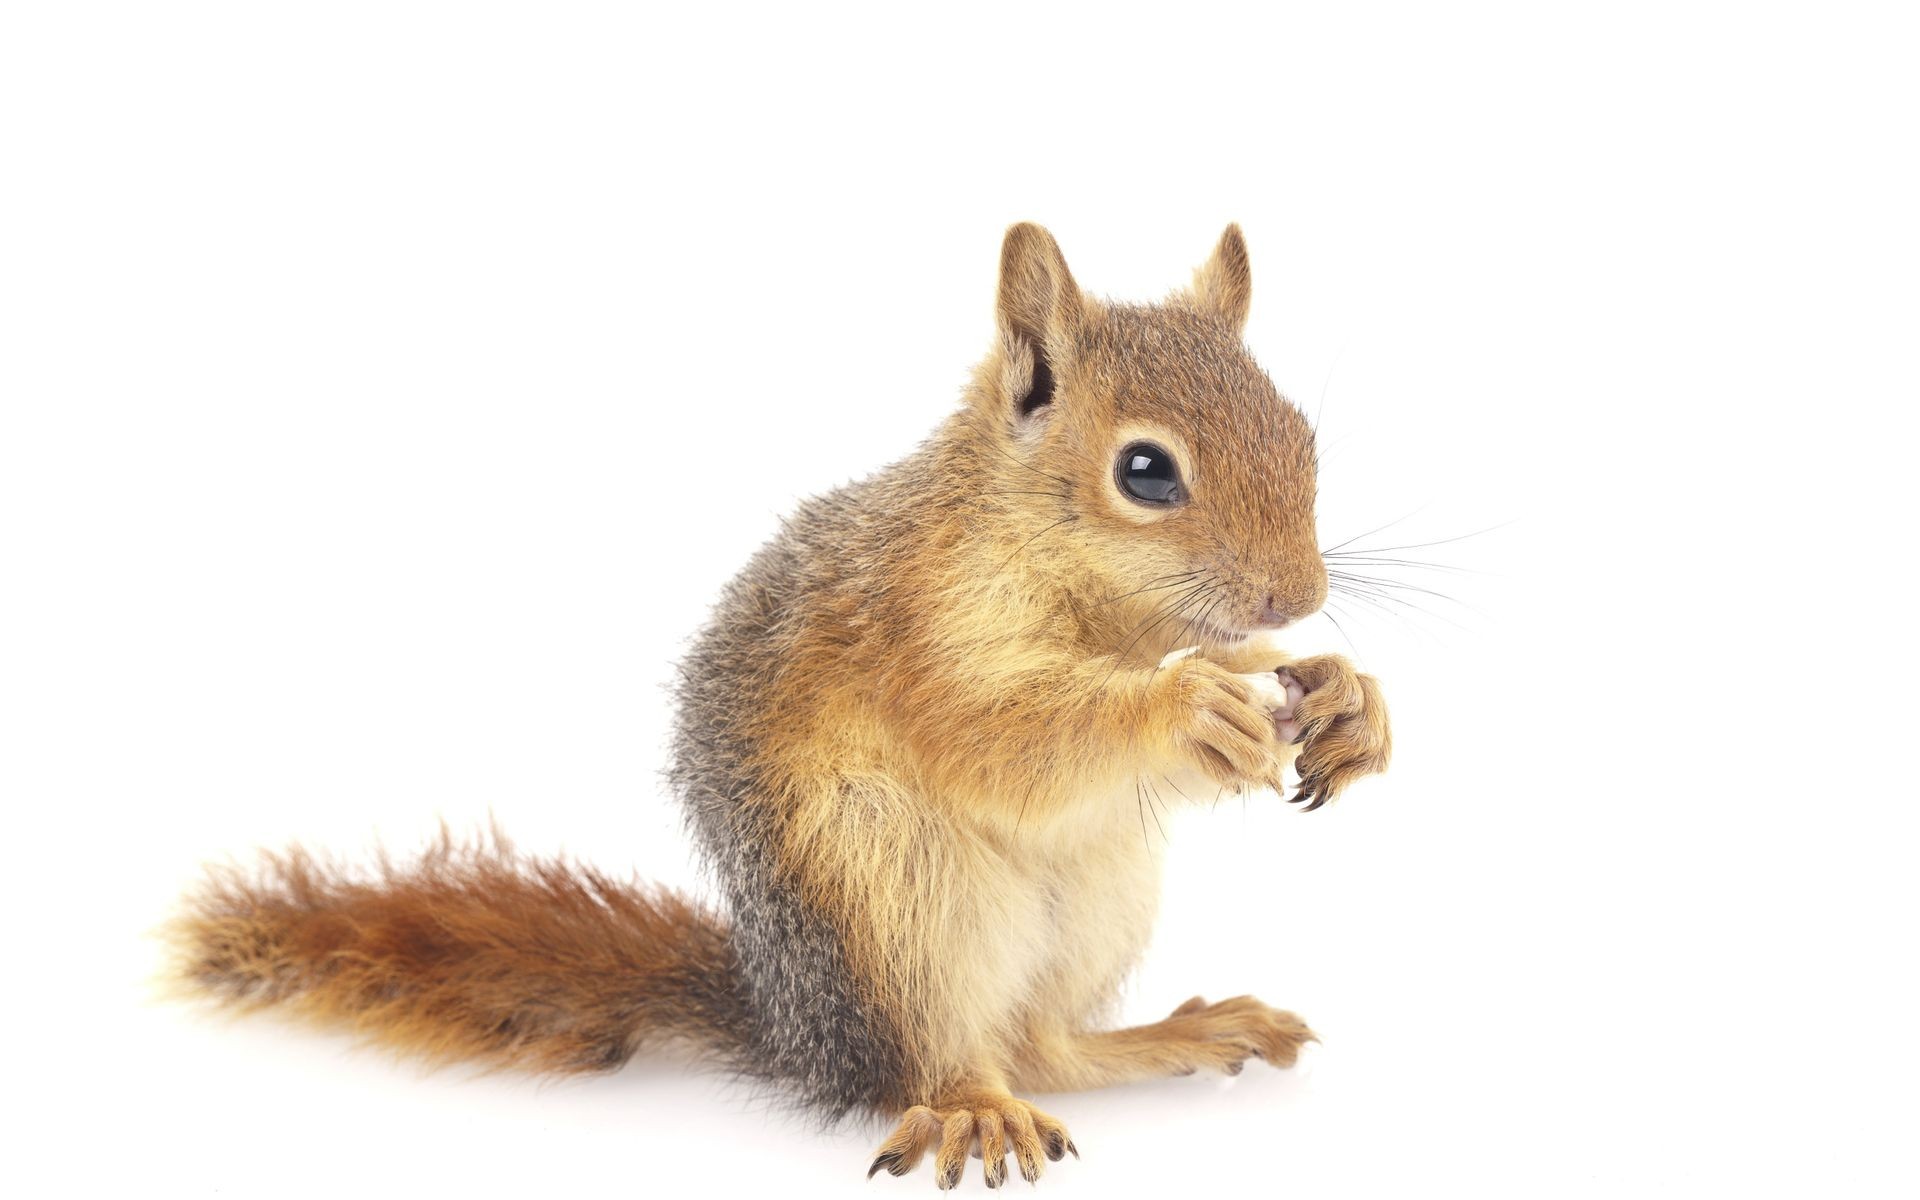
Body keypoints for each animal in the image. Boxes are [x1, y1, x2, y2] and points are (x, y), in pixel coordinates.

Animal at [171, 223, 1393, 1188]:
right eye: (1145, 472)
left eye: (1301, 434)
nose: (1299, 592)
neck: (1098, 611)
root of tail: (802, 1029)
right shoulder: (920, 634)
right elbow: (1003, 737)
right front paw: (1185, 707)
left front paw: (1347, 695)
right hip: (897, 897)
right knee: (941, 1059)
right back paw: (973, 1104)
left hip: (1097, 895)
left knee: (1046, 1047)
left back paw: (1180, 1035)